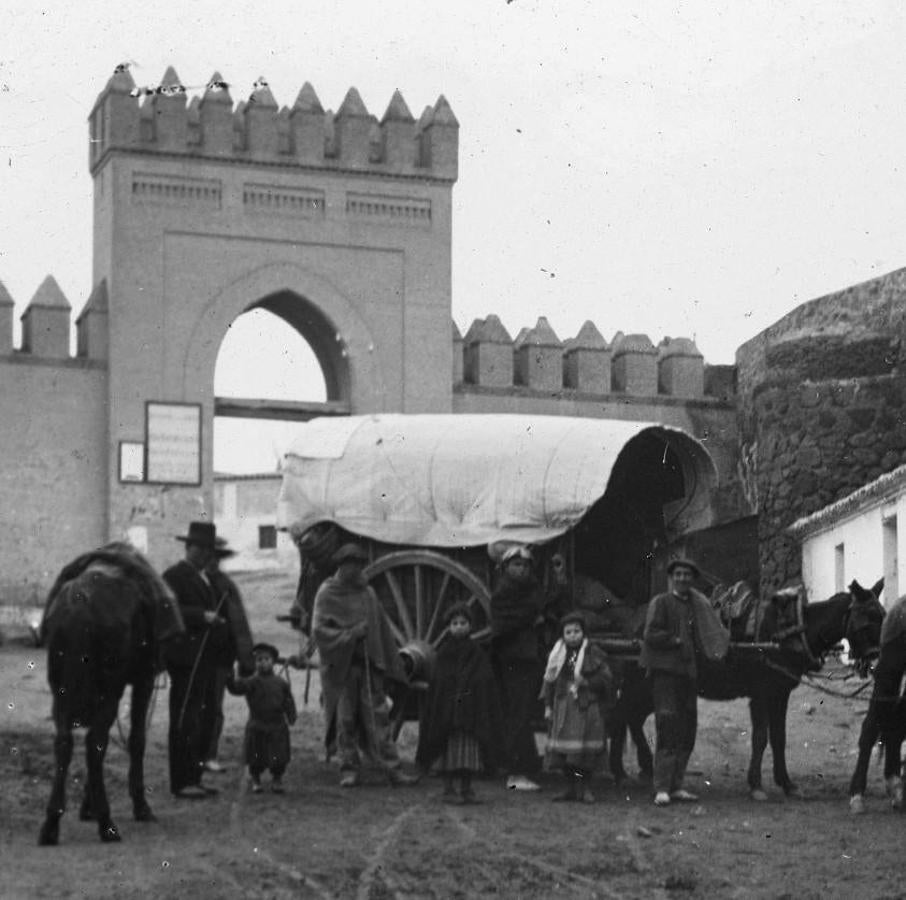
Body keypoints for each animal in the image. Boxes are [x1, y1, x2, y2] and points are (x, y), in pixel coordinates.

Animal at [37, 544, 182, 848]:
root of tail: (79, 601)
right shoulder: (143, 679)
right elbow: (136, 739)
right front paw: (140, 806)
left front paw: (86, 806)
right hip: (110, 689)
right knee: (95, 742)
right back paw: (107, 824)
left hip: (62, 692)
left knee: (65, 743)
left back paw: (52, 823)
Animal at [608, 580, 884, 800]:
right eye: (869, 617)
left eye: (882, 614)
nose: (877, 660)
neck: (788, 632)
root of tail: (633, 622)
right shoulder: (761, 694)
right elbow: (760, 738)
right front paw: (756, 785)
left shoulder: (780, 693)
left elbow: (779, 738)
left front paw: (787, 784)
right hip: (640, 684)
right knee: (620, 716)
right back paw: (620, 772)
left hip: (647, 690)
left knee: (631, 718)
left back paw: (642, 767)